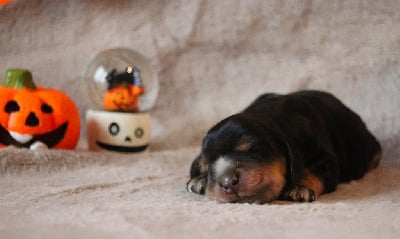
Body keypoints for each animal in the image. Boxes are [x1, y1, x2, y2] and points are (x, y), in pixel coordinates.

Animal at [188, 90, 382, 204]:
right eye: (207, 167)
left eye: (252, 150)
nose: (228, 182)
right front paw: (198, 180)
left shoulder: (326, 158)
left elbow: (313, 171)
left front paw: (300, 188)